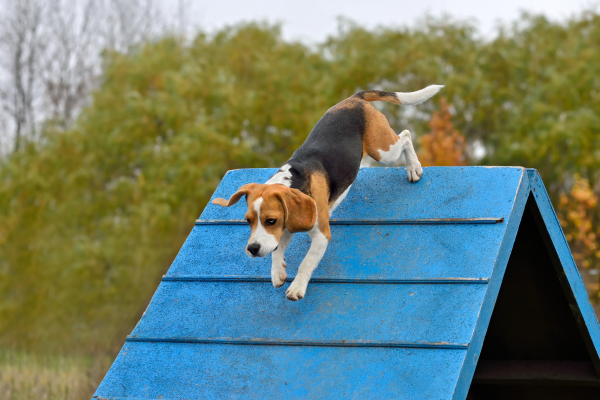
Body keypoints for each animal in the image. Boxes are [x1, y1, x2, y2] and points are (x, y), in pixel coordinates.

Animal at [213, 84, 442, 300]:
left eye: (270, 220)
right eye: (248, 221)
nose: (252, 249)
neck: (293, 180)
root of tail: (355, 98)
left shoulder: (321, 234)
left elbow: (306, 262)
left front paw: (297, 287)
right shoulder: (287, 225)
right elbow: (277, 250)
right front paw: (277, 272)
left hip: (383, 150)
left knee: (406, 136)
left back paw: (414, 168)